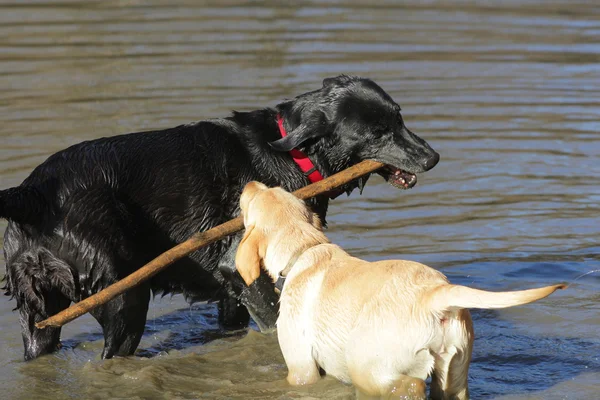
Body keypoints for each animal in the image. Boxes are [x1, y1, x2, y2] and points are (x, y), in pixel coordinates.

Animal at [1, 74, 440, 360]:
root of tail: (35, 192)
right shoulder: (240, 269)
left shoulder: (233, 290)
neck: (292, 151)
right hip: (124, 296)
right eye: (378, 132)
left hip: (39, 314)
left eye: (400, 118)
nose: (432, 157)